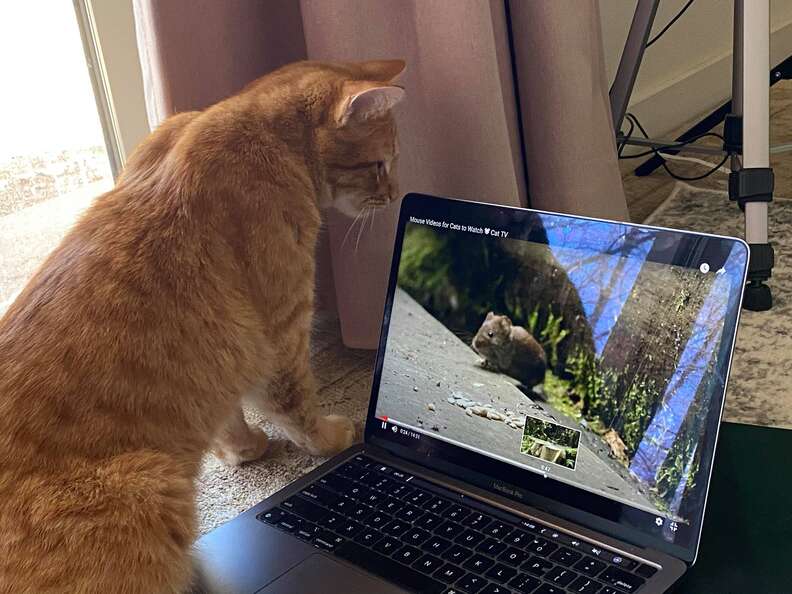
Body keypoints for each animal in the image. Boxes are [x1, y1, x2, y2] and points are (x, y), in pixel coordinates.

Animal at [0, 60, 406, 592]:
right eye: (379, 164)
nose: (395, 194)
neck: (267, 135)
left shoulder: (225, 353)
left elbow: (225, 413)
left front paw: (241, 449)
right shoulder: (280, 333)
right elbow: (295, 406)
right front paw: (329, 438)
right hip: (151, 489)